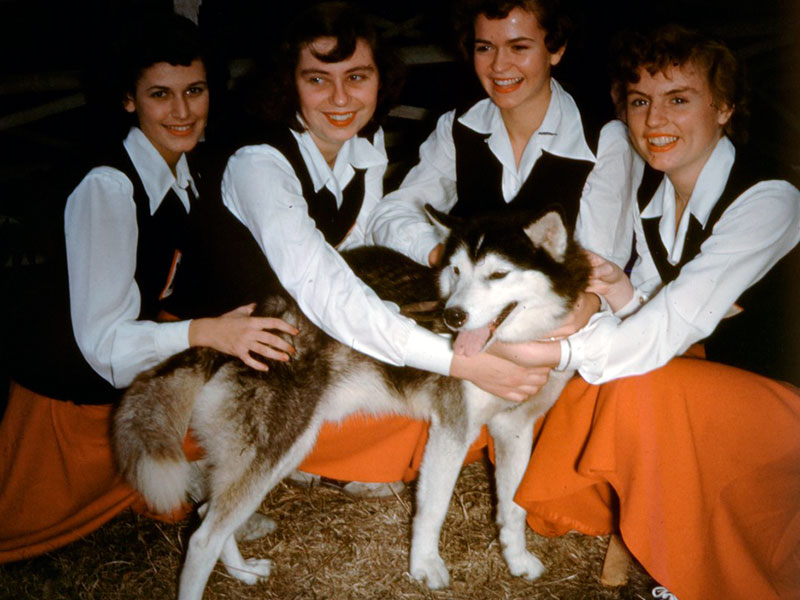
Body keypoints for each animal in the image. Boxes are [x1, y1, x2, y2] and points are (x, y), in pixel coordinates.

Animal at [111, 207, 588, 600]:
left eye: (498, 275)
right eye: (456, 270)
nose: (452, 317)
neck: (514, 345)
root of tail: (248, 321)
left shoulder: (514, 430)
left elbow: (513, 507)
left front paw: (517, 560)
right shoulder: (452, 432)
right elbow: (432, 510)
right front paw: (425, 567)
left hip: (284, 450)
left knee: (208, 512)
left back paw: (243, 572)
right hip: (276, 449)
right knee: (201, 538)